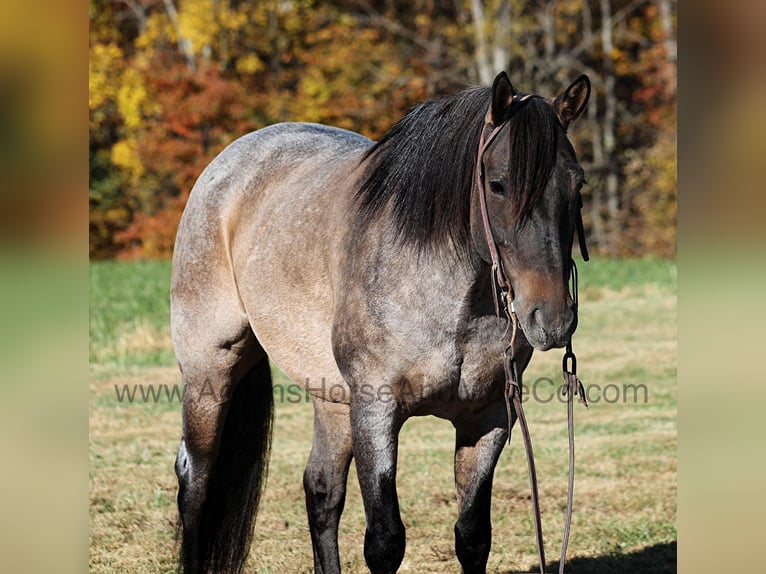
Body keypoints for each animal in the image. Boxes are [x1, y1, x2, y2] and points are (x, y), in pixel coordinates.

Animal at [171, 70, 591, 574]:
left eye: (577, 185)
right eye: (497, 184)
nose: (552, 318)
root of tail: (224, 167)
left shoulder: (487, 417)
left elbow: (473, 536)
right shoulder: (376, 410)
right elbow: (385, 541)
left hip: (331, 397)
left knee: (321, 492)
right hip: (210, 373)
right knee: (196, 482)